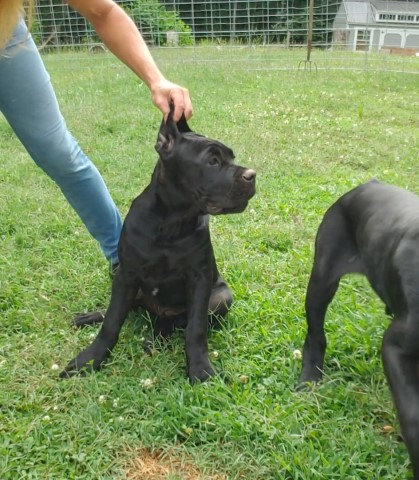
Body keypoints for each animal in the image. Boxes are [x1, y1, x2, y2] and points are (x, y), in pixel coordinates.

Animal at [59, 108, 256, 382]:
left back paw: (155, 337)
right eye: (212, 161)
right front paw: (90, 359)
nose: (252, 175)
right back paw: (92, 316)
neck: (171, 224)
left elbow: (195, 328)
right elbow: (112, 321)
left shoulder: (200, 278)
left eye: (231, 157)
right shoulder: (127, 275)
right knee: (129, 307)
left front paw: (200, 369)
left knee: (176, 321)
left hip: (221, 298)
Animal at [298, 179, 419, 476]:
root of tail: (368, 184)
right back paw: (309, 379)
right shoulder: (395, 348)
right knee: (315, 335)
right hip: (322, 279)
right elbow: (413, 415)